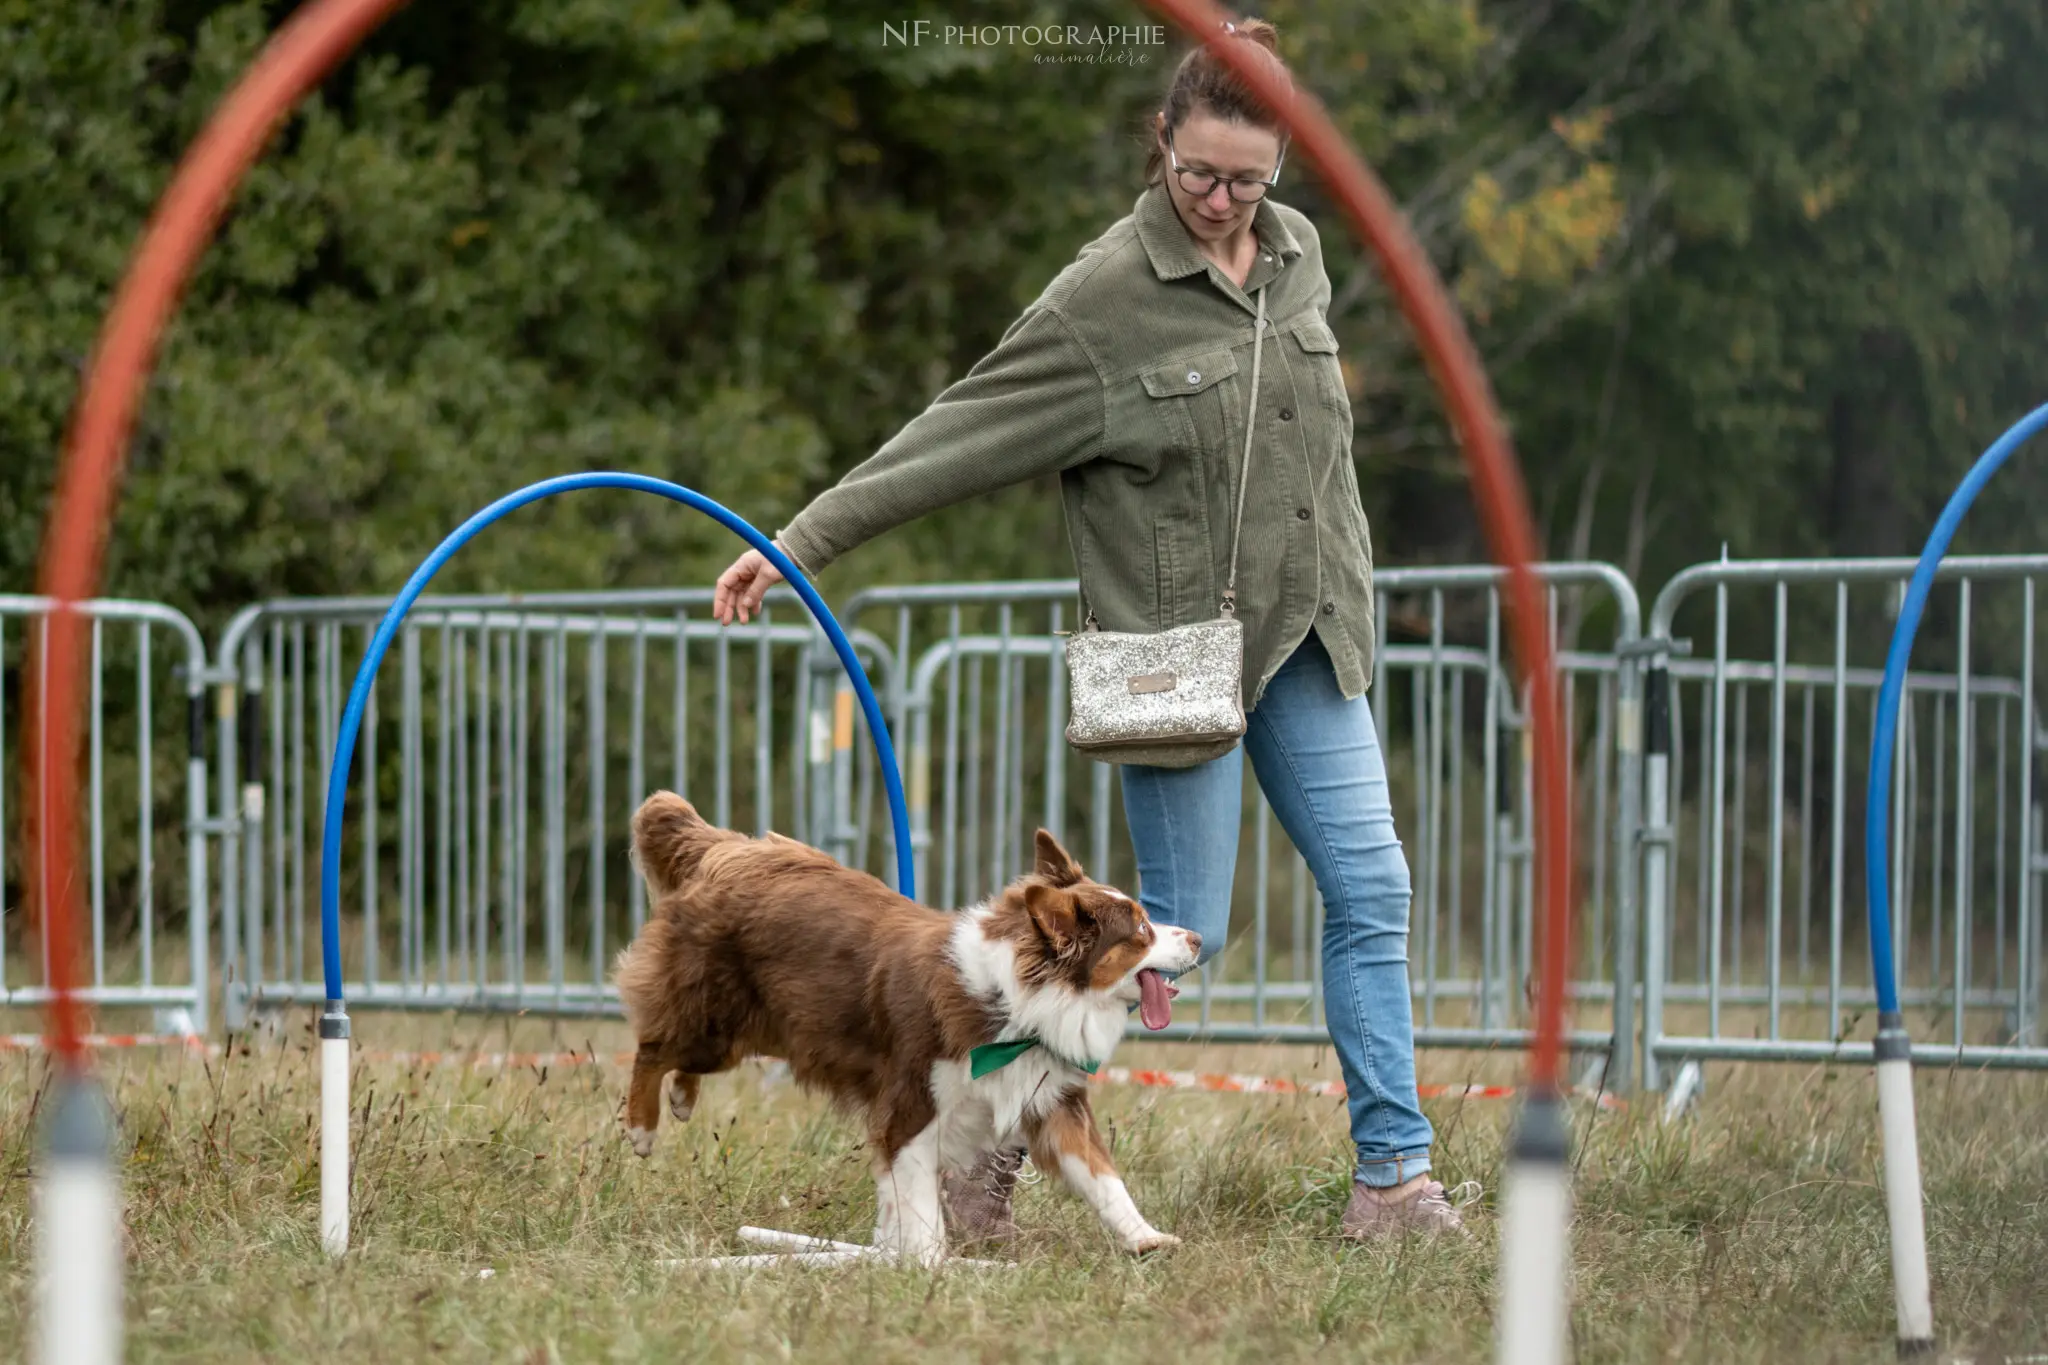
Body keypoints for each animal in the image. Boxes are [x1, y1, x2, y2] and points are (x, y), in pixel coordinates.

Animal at [606, 794, 1196, 1268]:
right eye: (1141, 931)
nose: (1196, 937)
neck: (1017, 1008)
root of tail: (725, 850)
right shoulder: (910, 1109)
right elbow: (919, 1204)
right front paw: (929, 1268)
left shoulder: (1051, 1101)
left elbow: (1103, 1177)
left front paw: (1146, 1238)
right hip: (714, 1019)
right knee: (652, 1048)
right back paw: (642, 1127)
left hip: (744, 1032)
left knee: (680, 1060)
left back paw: (682, 1098)